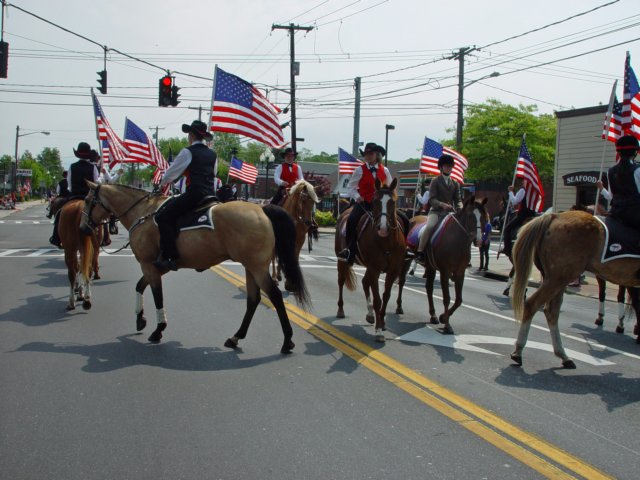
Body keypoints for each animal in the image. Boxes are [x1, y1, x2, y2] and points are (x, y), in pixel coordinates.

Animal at [80, 181, 310, 352]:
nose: (84, 228)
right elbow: (139, 286)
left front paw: (158, 329)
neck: (142, 213)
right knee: (253, 300)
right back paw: (236, 337)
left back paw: (287, 341)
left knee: (275, 296)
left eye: (88, 200)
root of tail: (262, 209)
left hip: (257, 267)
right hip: (251, 267)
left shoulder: (149, 265)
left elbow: (157, 295)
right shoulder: (156, 267)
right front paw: (140, 319)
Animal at [336, 179, 404, 342]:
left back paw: (370, 314)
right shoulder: (375, 269)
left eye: (393, 201)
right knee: (341, 282)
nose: (383, 228)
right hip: (342, 261)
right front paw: (378, 331)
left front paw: (382, 322)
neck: (386, 242)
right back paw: (341, 310)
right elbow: (378, 299)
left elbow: (386, 297)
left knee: (364, 282)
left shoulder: (393, 271)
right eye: (375, 201)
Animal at [404, 197, 490, 336]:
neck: (457, 241)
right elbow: (447, 298)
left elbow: (459, 300)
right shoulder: (445, 271)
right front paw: (447, 325)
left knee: (429, 289)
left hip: (430, 267)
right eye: (470, 216)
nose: (478, 241)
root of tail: (413, 218)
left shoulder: (460, 272)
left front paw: (443, 317)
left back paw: (433, 315)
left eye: (483, 217)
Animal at [510, 209, 640, 368]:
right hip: (558, 278)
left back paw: (563, 356)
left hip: (558, 279)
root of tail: (554, 216)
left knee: (551, 312)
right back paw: (518, 351)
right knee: (533, 304)